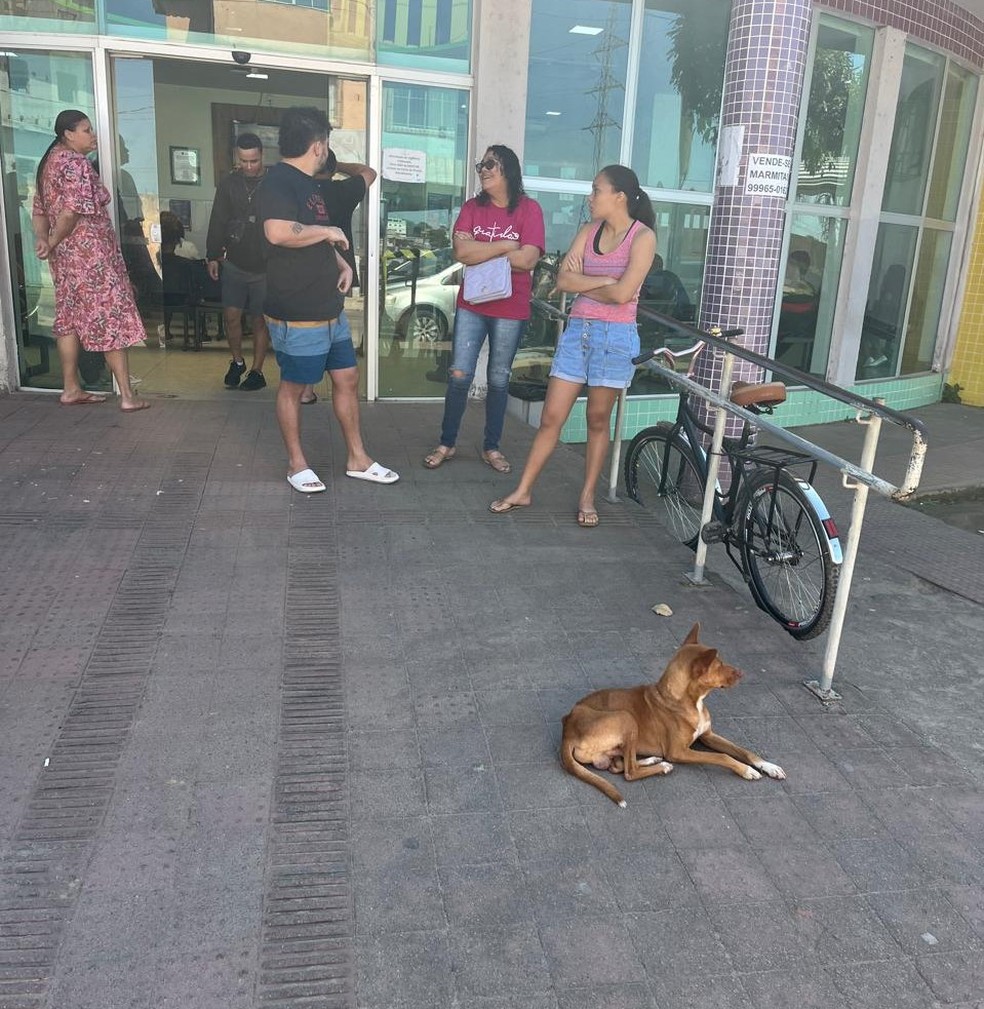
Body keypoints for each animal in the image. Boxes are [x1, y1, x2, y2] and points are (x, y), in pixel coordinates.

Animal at [561, 617, 783, 807]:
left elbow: (744, 750)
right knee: (629, 772)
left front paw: (769, 766)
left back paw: (652, 760)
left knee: (619, 765)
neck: (690, 702)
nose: (742, 673)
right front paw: (746, 770)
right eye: (719, 666)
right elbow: (722, 757)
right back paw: (662, 766)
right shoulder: (678, 751)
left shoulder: (708, 735)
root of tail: (567, 729)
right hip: (626, 717)